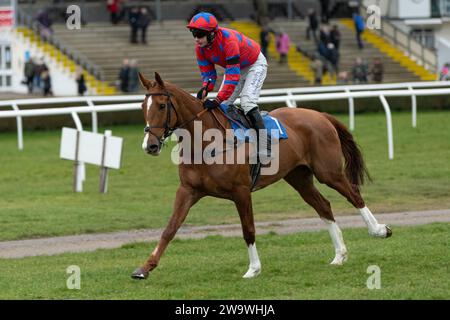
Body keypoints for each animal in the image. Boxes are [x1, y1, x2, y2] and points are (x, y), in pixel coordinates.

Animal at [132, 72, 392, 280]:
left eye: (162, 106)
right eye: (143, 107)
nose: (150, 145)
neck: (206, 141)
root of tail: (320, 115)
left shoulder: (241, 191)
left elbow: (248, 230)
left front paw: (253, 269)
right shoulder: (188, 190)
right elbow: (170, 229)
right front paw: (145, 268)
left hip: (328, 172)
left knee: (354, 195)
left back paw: (378, 230)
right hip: (299, 178)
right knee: (324, 206)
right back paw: (339, 255)